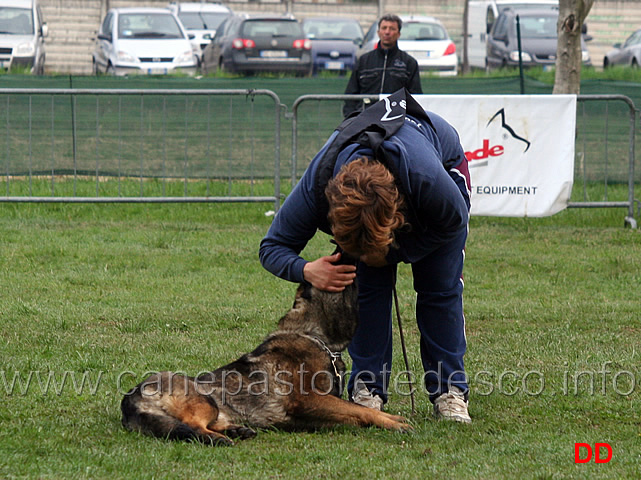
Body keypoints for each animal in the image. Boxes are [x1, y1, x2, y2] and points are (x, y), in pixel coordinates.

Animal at [120, 251, 410, 446]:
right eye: (332, 264)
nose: (340, 247)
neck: (313, 335)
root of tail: (129, 398)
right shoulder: (309, 400)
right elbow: (360, 410)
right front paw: (393, 421)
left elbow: (358, 413)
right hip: (205, 400)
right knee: (191, 426)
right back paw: (221, 438)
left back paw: (237, 430)